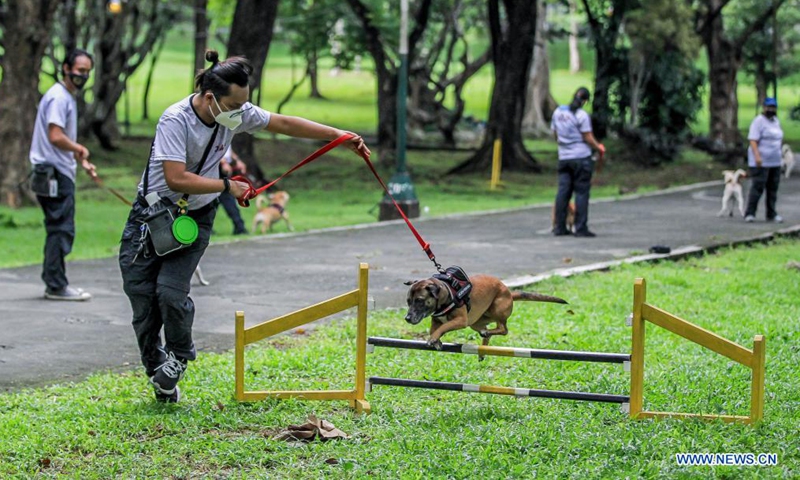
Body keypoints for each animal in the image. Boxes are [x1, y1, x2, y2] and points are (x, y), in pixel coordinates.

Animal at [404, 270, 564, 356]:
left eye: (419, 300)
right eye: (408, 301)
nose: (407, 318)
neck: (446, 292)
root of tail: (509, 293)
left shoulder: (460, 320)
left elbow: (443, 327)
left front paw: (433, 339)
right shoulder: (436, 320)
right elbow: (435, 328)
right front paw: (436, 340)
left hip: (497, 308)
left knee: (503, 329)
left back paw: (488, 334)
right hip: (475, 322)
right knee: (489, 331)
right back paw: (484, 346)